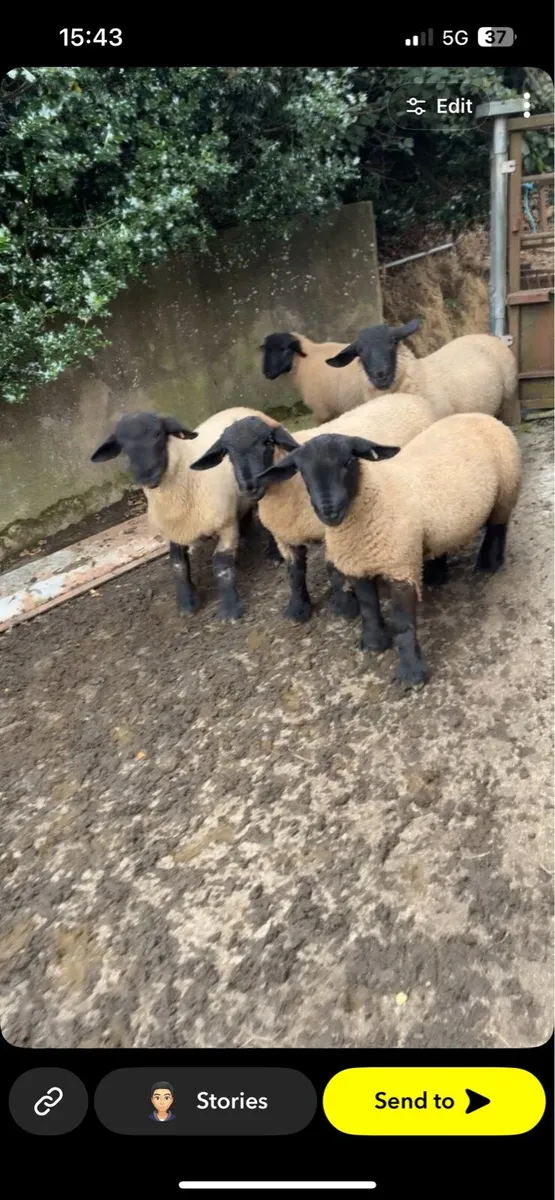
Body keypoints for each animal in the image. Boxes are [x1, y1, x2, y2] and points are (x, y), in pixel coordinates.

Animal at [90, 407, 279, 620]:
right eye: (123, 445)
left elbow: (222, 566)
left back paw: (273, 554)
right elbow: (178, 565)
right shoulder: (175, 530)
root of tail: (242, 408)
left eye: (157, 434)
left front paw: (231, 609)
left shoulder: (226, 525)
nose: (146, 476)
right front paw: (187, 604)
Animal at [189, 391, 437, 624]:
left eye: (268, 442)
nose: (250, 486)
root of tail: (407, 396)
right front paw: (298, 609)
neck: (287, 488)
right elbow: (295, 573)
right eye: (227, 452)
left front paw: (343, 608)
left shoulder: (329, 533)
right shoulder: (285, 537)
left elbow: (333, 571)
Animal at [256, 412, 522, 689]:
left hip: (507, 489)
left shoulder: (400, 567)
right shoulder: (358, 565)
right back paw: (437, 575)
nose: (328, 510)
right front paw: (374, 643)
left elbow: (403, 623)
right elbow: (368, 607)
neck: (376, 496)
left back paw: (488, 564)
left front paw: (411, 673)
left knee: (498, 526)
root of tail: (479, 415)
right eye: (302, 472)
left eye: (347, 461)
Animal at [326, 319, 519, 422]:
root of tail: (490, 337)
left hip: (508, 398)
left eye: (393, 342)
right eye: (360, 352)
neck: (421, 377)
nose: (380, 375)